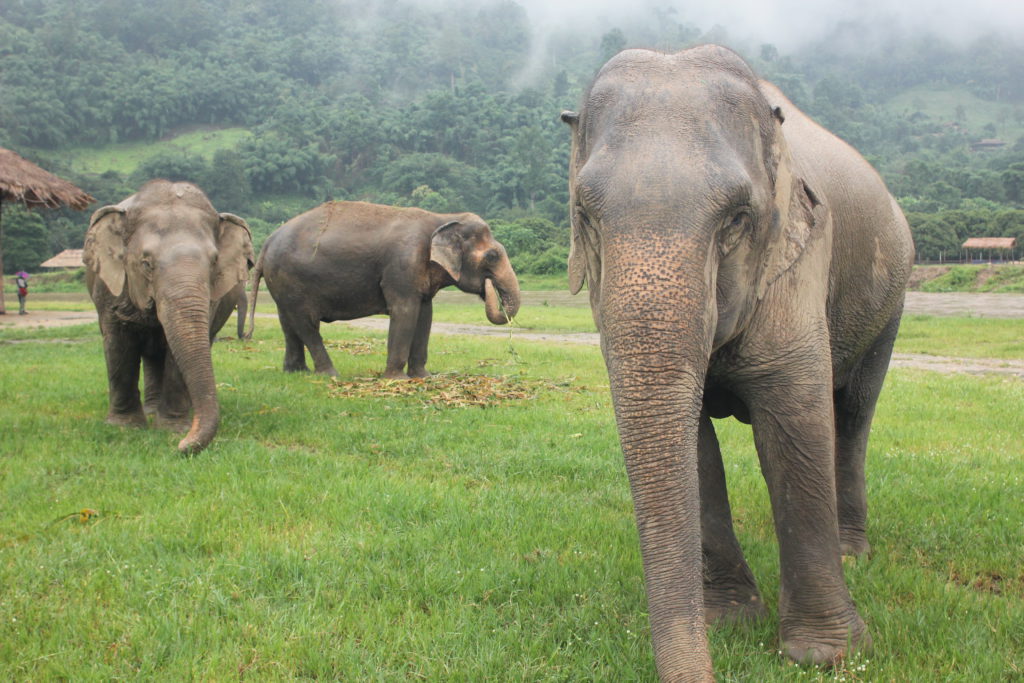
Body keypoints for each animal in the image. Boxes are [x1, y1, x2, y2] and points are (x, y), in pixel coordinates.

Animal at [81, 181, 253, 454]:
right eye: (146, 263)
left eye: (214, 262)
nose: (182, 447)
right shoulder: (107, 288)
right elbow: (118, 343)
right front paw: (124, 427)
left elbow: (176, 354)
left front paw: (173, 430)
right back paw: (151, 410)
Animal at [565, 45, 917, 679]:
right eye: (586, 213)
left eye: (735, 218)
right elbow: (695, 444)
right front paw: (730, 622)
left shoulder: (797, 260)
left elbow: (794, 423)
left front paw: (828, 655)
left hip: (892, 299)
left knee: (853, 415)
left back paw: (854, 553)